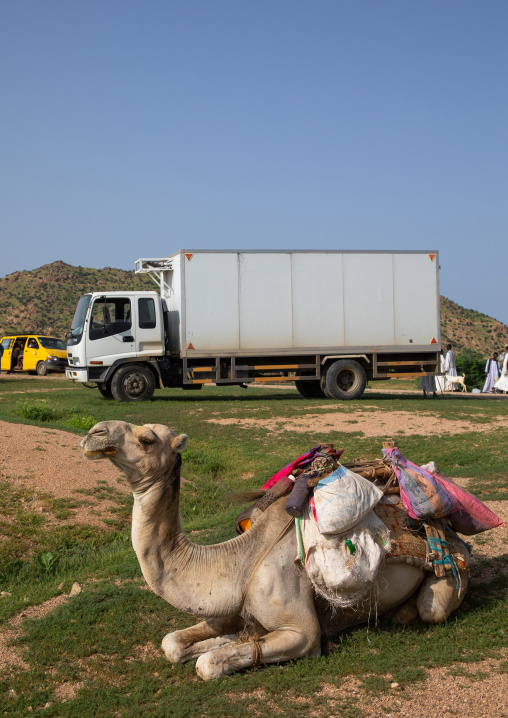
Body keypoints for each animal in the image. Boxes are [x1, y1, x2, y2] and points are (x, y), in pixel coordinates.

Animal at [81, 421, 469, 681]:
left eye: (147, 439)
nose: (95, 432)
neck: (239, 561)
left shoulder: (302, 633)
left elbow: (208, 664)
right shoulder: (232, 606)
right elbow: (173, 643)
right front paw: (224, 639)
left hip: (450, 574)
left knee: (431, 608)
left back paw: (403, 614)